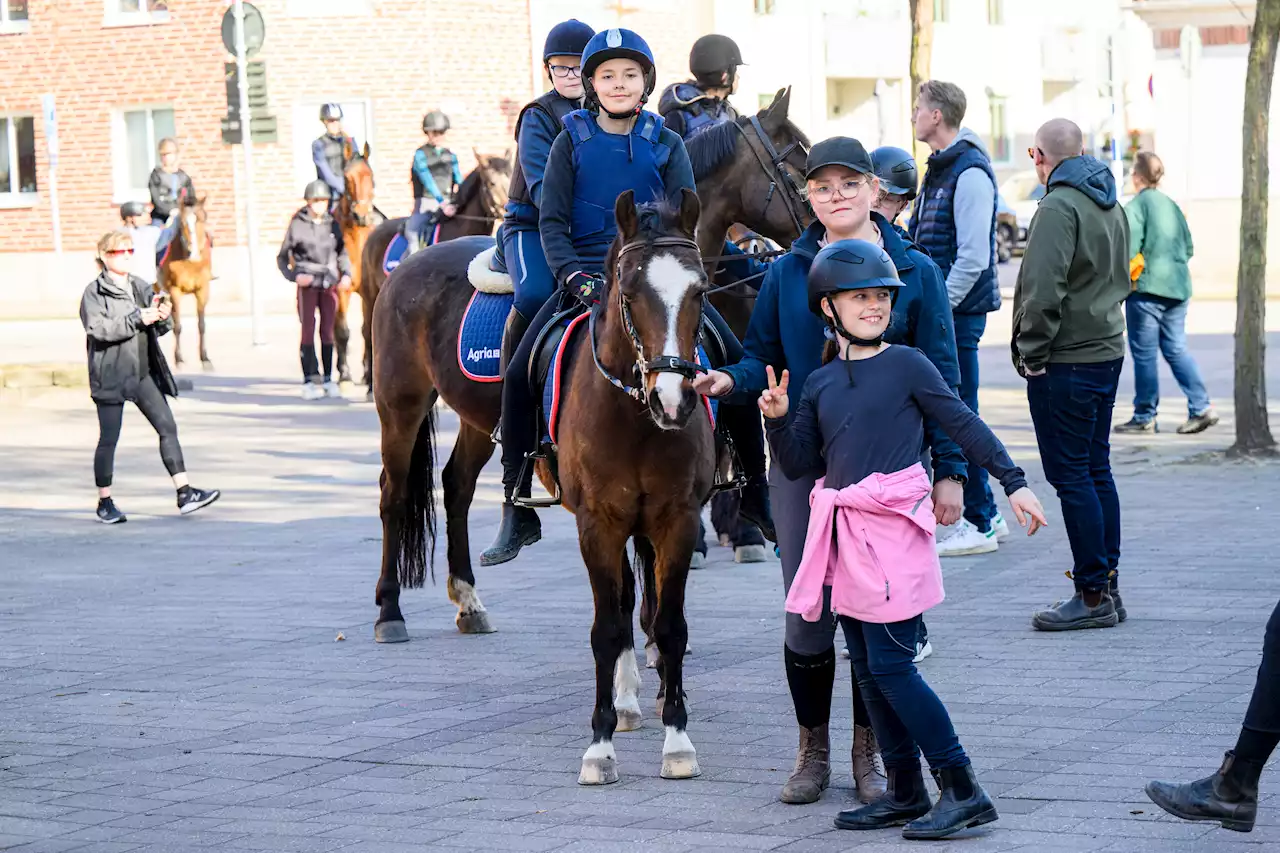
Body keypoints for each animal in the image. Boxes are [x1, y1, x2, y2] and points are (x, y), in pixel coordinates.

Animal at [158, 194, 213, 366]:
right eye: (182, 223)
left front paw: (205, 357)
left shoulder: (203, 290)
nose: (193, 252)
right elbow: (178, 326)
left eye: (202, 219)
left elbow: (201, 324)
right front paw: (178, 358)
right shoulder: (175, 291)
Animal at [373, 189, 711, 778]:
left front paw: (675, 737)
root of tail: (407, 263)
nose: (673, 399)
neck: (633, 413)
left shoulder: (676, 518)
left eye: (699, 290)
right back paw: (391, 612)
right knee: (393, 498)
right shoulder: (598, 522)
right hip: (400, 405)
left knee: (457, 486)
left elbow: (666, 623)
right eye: (630, 292)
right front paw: (601, 744)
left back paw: (469, 601)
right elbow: (607, 626)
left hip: (476, 423)